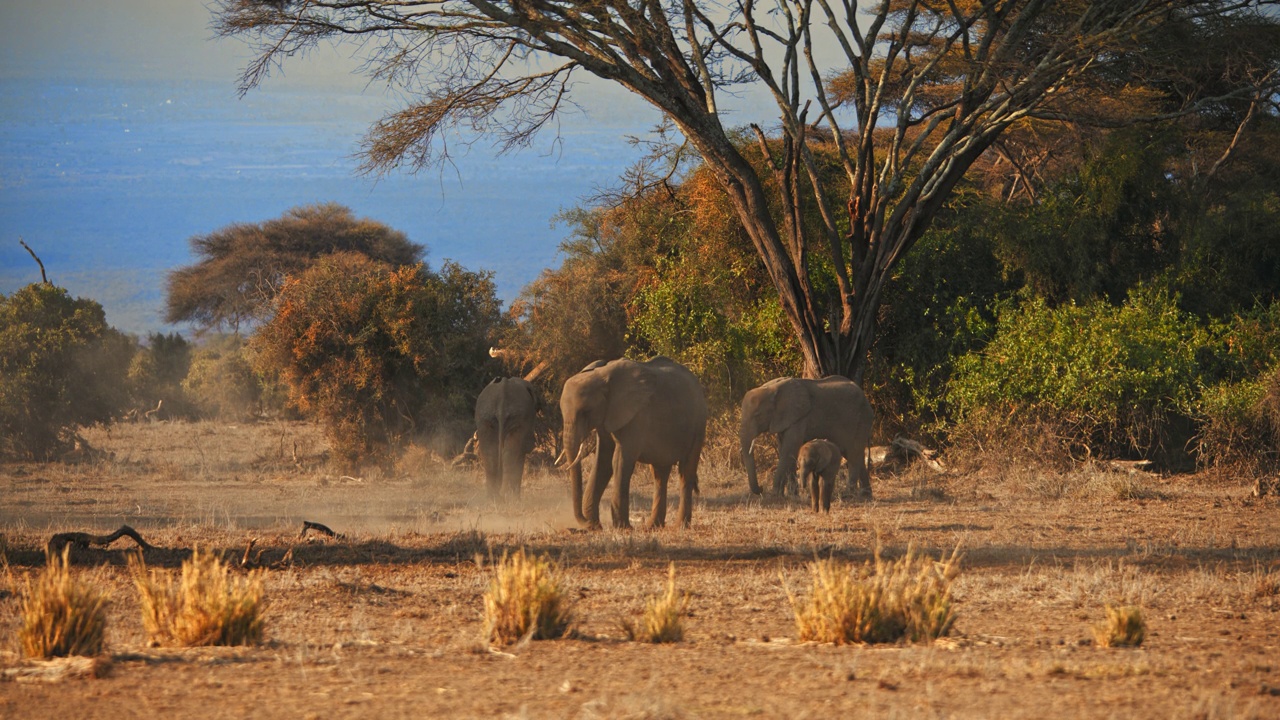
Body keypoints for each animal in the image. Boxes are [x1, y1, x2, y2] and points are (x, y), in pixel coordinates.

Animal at [555, 353, 706, 527]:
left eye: (586, 412)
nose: (589, 523)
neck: (600, 376)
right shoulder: (607, 415)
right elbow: (602, 461)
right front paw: (595, 526)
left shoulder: (635, 416)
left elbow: (620, 460)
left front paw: (622, 528)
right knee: (660, 474)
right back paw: (651, 527)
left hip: (698, 424)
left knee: (686, 472)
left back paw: (678, 527)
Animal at [737, 376, 875, 499]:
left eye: (757, 415)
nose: (761, 488)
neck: (770, 388)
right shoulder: (786, 419)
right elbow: (784, 449)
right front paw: (791, 495)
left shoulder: (799, 417)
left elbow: (789, 449)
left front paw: (775, 494)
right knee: (856, 455)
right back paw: (866, 495)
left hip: (860, 420)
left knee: (853, 454)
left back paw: (848, 496)